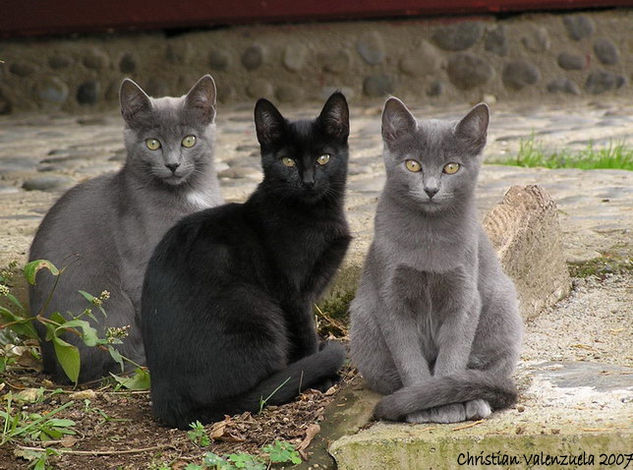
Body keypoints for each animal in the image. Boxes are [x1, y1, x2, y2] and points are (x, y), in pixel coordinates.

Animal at [29, 73, 225, 382]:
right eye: (153, 144)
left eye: (189, 140)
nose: (172, 164)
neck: (190, 193)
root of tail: (53, 365)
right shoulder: (141, 268)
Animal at [141, 92, 350, 430]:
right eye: (288, 161)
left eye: (324, 158)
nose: (307, 181)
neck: (315, 214)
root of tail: (169, 402)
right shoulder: (294, 294)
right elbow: (306, 333)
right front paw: (319, 374)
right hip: (255, 308)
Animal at [348, 97, 520, 424]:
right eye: (412, 164)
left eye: (451, 167)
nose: (430, 189)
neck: (428, 238)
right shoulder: (390, 299)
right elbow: (409, 359)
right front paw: (422, 406)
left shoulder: (464, 296)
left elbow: (453, 357)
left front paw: (447, 406)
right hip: (363, 325)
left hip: (503, 307)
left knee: (486, 372)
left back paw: (475, 402)